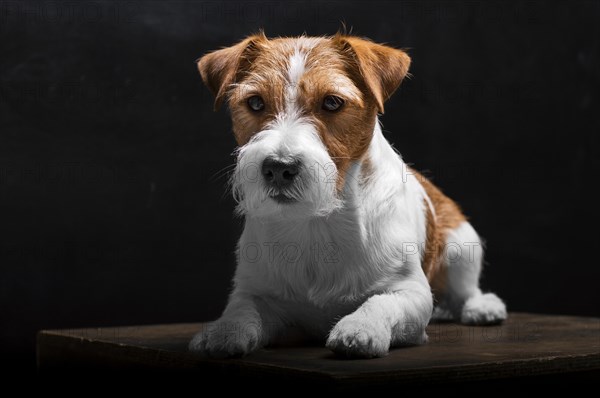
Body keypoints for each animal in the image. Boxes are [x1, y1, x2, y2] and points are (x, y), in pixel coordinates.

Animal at [189, 32, 506, 360]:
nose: (278, 167)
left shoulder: (411, 292)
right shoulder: (254, 291)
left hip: (462, 247)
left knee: (466, 290)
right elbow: (241, 311)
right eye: (254, 102)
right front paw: (223, 331)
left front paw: (360, 328)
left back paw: (481, 307)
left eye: (332, 102)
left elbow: (380, 302)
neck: (316, 222)